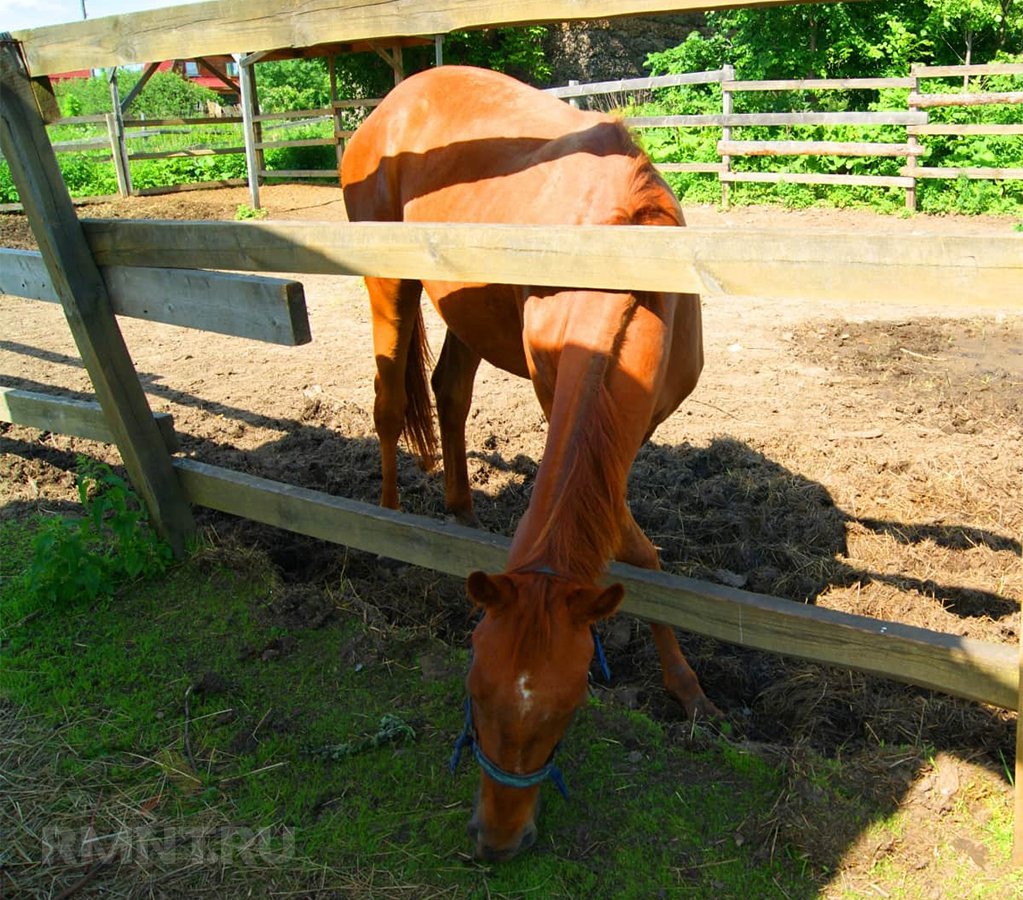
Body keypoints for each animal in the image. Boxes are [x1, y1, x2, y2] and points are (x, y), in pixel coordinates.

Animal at [343, 66, 720, 863]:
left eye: (562, 715)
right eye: (472, 695)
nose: (495, 841)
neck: (621, 266)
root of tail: (391, 102)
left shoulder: (634, 430)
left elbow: (638, 553)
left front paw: (687, 689)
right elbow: (637, 551)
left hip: (465, 306)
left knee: (450, 394)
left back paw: (459, 512)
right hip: (389, 281)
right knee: (389, 405)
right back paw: (389, 525)